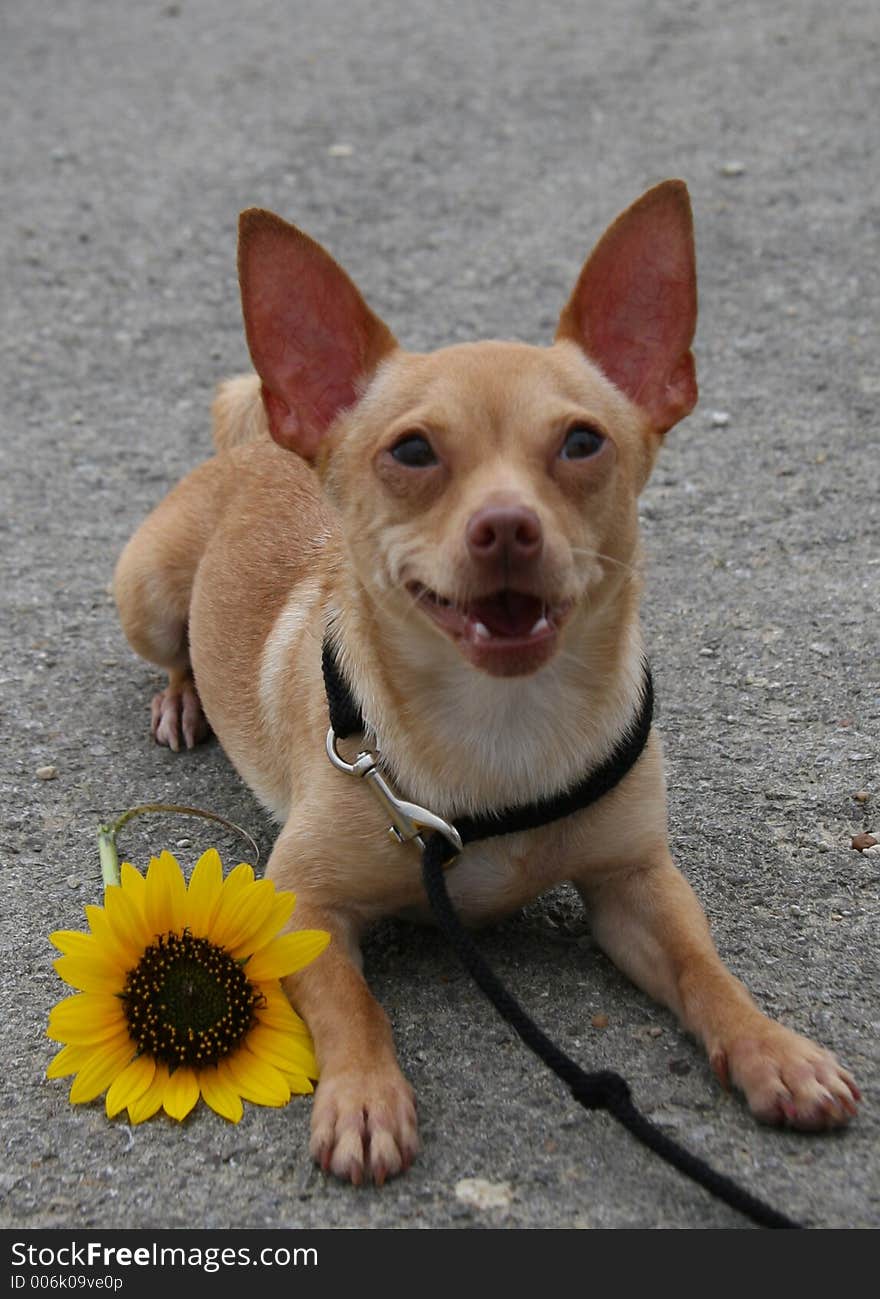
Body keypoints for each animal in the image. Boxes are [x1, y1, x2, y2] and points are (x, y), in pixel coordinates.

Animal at [111, 183, 857, 1189]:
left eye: (582, 441)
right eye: (413, 452)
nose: (507, 525)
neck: (504, 724)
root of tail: (265, 440)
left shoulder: (638, 885)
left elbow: (709, 970)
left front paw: (773, 1048)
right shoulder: (298, 905)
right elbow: (351, 1003)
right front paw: (362, 1094)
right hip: (147, 592)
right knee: (175, 649)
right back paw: (184, 697)